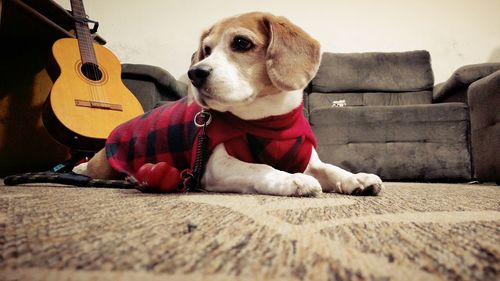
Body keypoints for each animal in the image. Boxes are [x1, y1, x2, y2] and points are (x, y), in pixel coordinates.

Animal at [75, 12, 382, 196]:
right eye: (207, 50)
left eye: (242, 43)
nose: (194, 73)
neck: (267, 120)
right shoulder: (217, 167)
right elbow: (261, 168)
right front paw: (292, 180)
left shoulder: (310, 160)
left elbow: (332, 169)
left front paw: (357, 178)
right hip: (105, 165)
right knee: (90, 167)